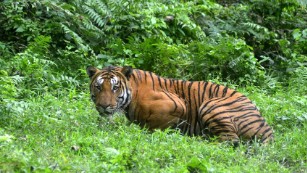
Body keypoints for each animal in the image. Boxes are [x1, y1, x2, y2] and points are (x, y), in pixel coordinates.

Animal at [86, 65, 274, 144]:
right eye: (98, 86)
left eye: (115, 87)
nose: (103, 106)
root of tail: (267, 128)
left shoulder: (177, 105)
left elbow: (153, 125)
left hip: (211, 105)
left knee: (230, 140)